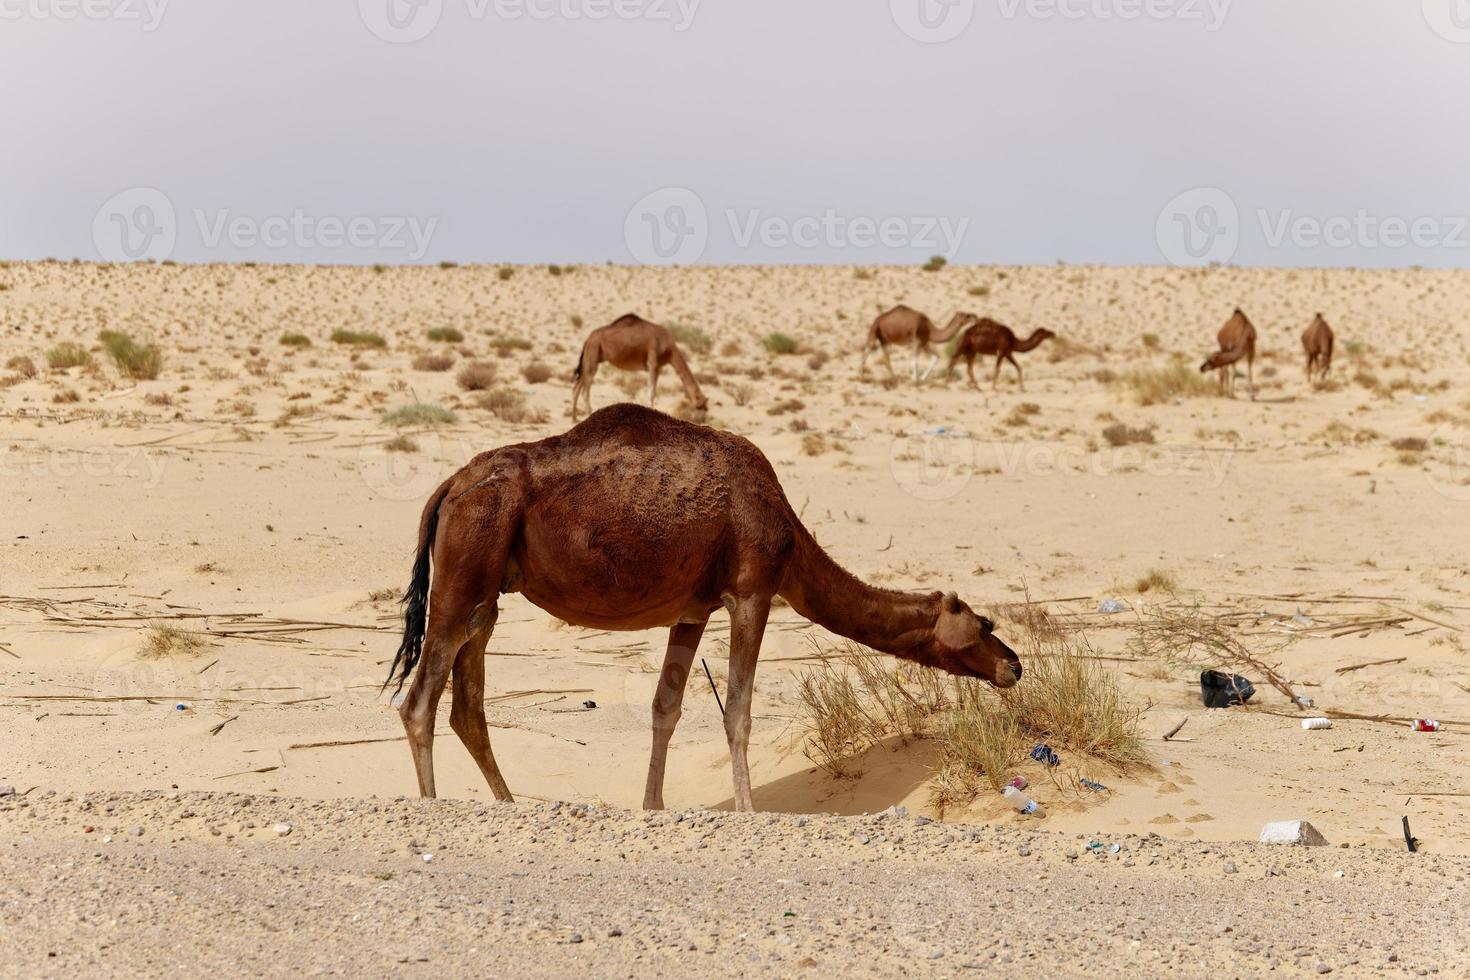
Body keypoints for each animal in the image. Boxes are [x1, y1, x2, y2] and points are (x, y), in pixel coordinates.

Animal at [385, 405, 1017, 811]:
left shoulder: (692, 611)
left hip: (486, 591)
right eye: (983, 623)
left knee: (467, 703)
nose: (1013, 664)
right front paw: (747, 810)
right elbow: (737, 710)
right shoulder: (753, 591)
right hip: (468, 564)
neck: (791, 535)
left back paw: (509, 802)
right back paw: (432, 805)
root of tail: (450, 484)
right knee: (418, 701)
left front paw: (654, 806)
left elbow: (665, 708)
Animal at [567, 314, 705, 423]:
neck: (669, 350)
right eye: (700, 406)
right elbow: (651, 393)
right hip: (593, 352)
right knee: (585, 389)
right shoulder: (653, 362)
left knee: (577, 386)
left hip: (590, 357)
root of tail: (588, 338)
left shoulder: (659, 367)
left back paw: (574, 419)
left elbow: (653, 391)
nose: (701, 420)